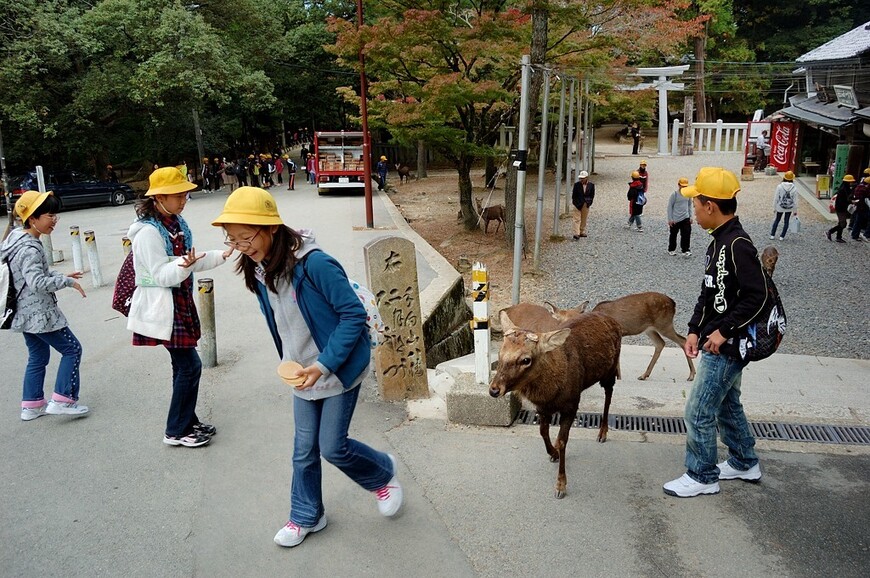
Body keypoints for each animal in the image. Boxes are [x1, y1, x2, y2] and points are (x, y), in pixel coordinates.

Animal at [494, 308, 624, 498]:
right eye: (499, 353)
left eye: (526, 359)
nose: (494, 389)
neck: (551, 393)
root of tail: (613, 320)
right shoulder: (542, 408)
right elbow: (543, 432)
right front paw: (553, 452)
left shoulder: (572, 405)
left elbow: (563, 441)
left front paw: (561, 485)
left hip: (610, 370)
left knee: (609, 395)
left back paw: (602, 432)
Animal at [548, 290, 700, 380]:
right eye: (560, 320)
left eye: (575, 319)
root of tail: (673, 303)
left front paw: (617, 377)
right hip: (650, 329)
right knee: (660, 343)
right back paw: (644, 375)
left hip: (664, 324)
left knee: (682, 340)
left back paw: (691, 375)